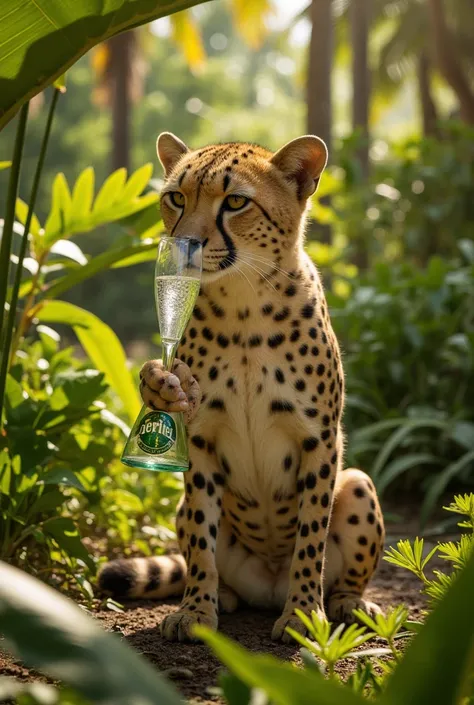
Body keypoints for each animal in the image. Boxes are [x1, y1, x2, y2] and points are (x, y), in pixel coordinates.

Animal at [100, 132, 386, 644]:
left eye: (235, 202)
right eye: (176, 197)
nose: (186, 245)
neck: (244, 306)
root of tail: (267, 586)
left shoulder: (319, 439)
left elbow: (310, 537)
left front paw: (302, 614)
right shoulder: (200, 440)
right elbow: (201, 540)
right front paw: (195, 611)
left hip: (356, 483)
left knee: (343, 565)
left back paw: (348, 603)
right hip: (184, 508)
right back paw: (224, 597)